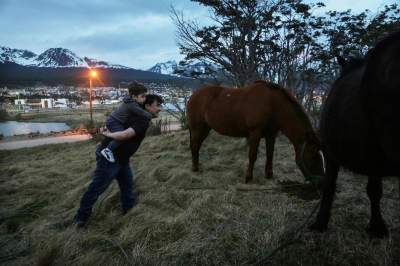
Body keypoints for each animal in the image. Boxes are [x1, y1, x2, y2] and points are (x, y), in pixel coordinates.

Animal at [188, 80, 324, 183]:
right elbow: (253, 155)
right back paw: (195, 168)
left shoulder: (271, 135)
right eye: (313, 155)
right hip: (197, 127)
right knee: (194, 145)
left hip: (205, 128)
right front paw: (248, 177)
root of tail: (193, 96)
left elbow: (270, 154)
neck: (273, 104)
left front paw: (269, 174)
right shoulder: (255, 133)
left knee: (197, 146)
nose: (320, 181)